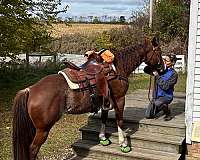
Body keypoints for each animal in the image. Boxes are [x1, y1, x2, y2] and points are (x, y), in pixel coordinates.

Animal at [11, 37, 163, 159]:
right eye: (159, 52)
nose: (162, 68)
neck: (117, 68)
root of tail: (30, 90)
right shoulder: (119, 99)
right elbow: (120, 120)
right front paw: (123, 144)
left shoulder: (106, 100)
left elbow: (104, 118)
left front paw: (103, 138)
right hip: (43, 130)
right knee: (32, 149)